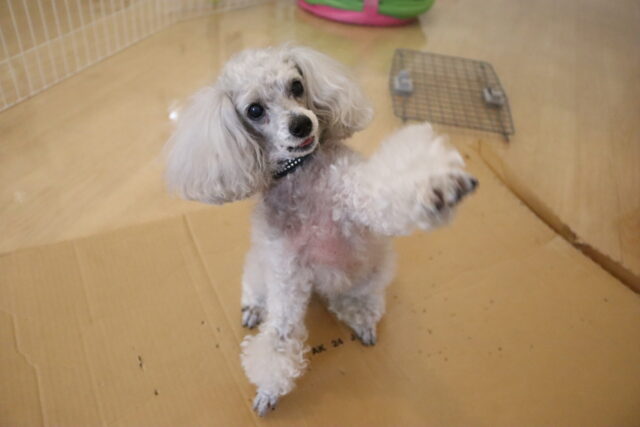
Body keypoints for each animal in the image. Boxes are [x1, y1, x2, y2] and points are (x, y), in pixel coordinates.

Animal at [166, 44, 477, 416]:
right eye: (255, 110)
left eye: (297, 86)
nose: (301, 124)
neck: (300, 176)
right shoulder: (286, 273)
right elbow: (280, 334)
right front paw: (268, 390)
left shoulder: (359, 197)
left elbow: (387, 188)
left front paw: (437, 186)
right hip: (260, 265)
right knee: (255, 288)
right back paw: (254, 308)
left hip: (368, 275)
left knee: (357, 301)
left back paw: (361, 319)